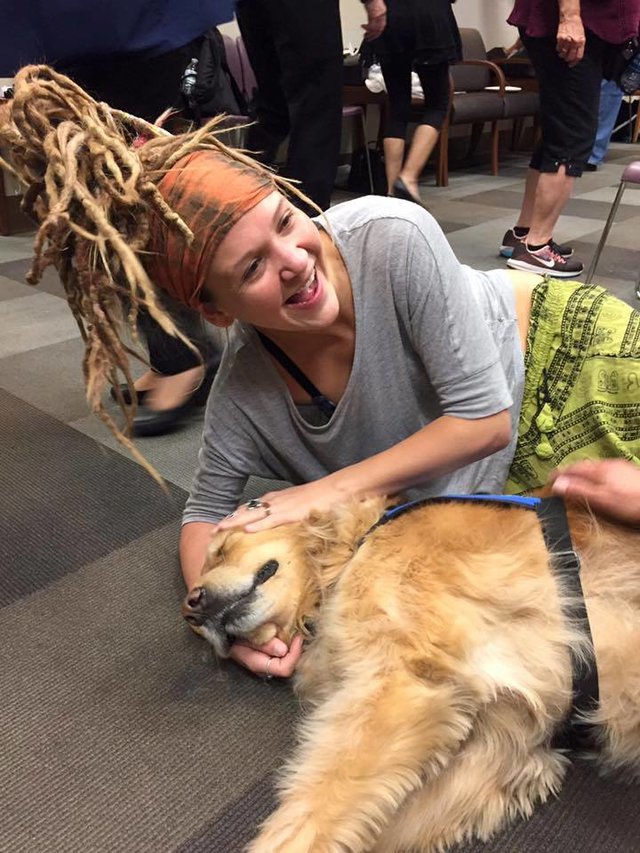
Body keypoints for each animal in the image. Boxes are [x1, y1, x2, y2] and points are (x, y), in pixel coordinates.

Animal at [182, 495, 640, 852]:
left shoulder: (406, 681)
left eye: (221, 549)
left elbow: (310, 815)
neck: (350, 551)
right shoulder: (500, 756)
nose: (192, 607)